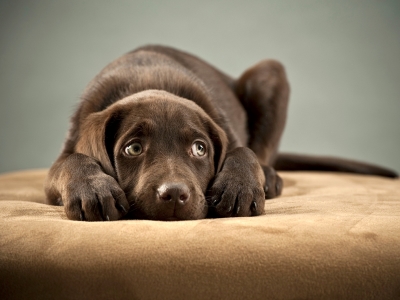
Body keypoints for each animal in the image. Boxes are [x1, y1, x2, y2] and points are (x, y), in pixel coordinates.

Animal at [45, 45, 398, 221]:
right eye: (133, 149)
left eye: (199, 149)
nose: (175, 195)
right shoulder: (61, 160)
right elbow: (71, 162)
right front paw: (93, 189)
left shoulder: (225, 128)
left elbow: (242, 151)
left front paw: (240, 187)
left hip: (270, 73)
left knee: (263, 152)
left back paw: (269, 178)